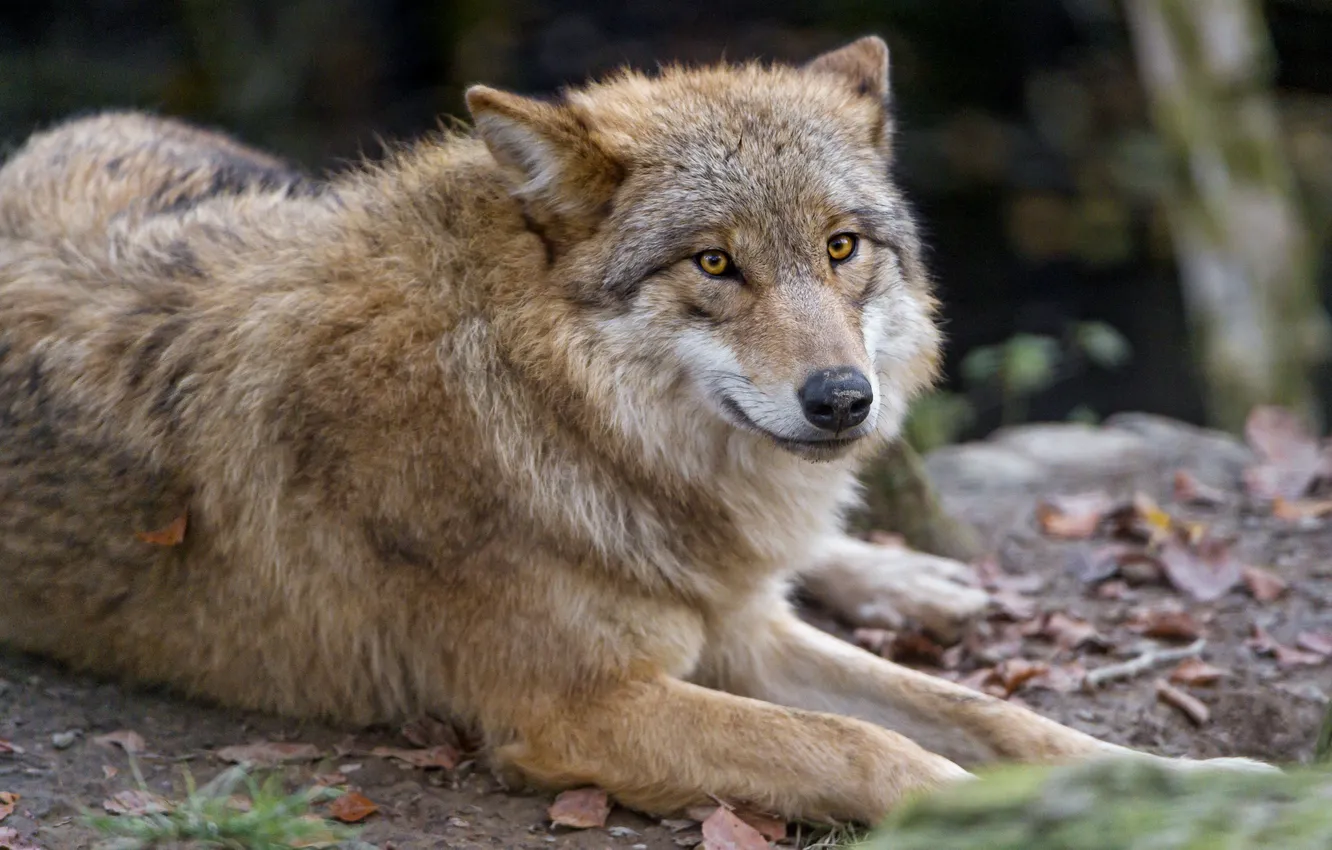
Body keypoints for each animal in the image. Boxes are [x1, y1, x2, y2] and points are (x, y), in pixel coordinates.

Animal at [0, 36, 1263, 824]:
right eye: (714, 263)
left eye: (842, 246)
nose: (842, 400)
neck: (536, 405)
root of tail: (50, 136)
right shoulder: (585, 707)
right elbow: (862, 744)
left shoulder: (731, 633)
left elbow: (994, 713)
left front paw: (1186, 782)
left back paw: (919, 582)